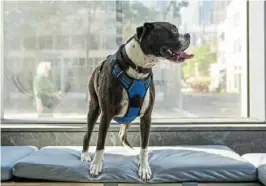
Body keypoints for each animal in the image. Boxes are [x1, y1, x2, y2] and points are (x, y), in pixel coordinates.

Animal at [80, 21, 193, 181]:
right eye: (172, 30)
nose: (188, 35)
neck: (138, 68)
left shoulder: (146, 117)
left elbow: (144, 146)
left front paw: (144, 168)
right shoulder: (106, 115)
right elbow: (100, 143)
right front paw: (96, 165)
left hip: (128, 117)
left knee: (122, 134)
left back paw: (131, 151)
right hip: (94, 109)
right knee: (87, 135)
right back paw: (85, 155)